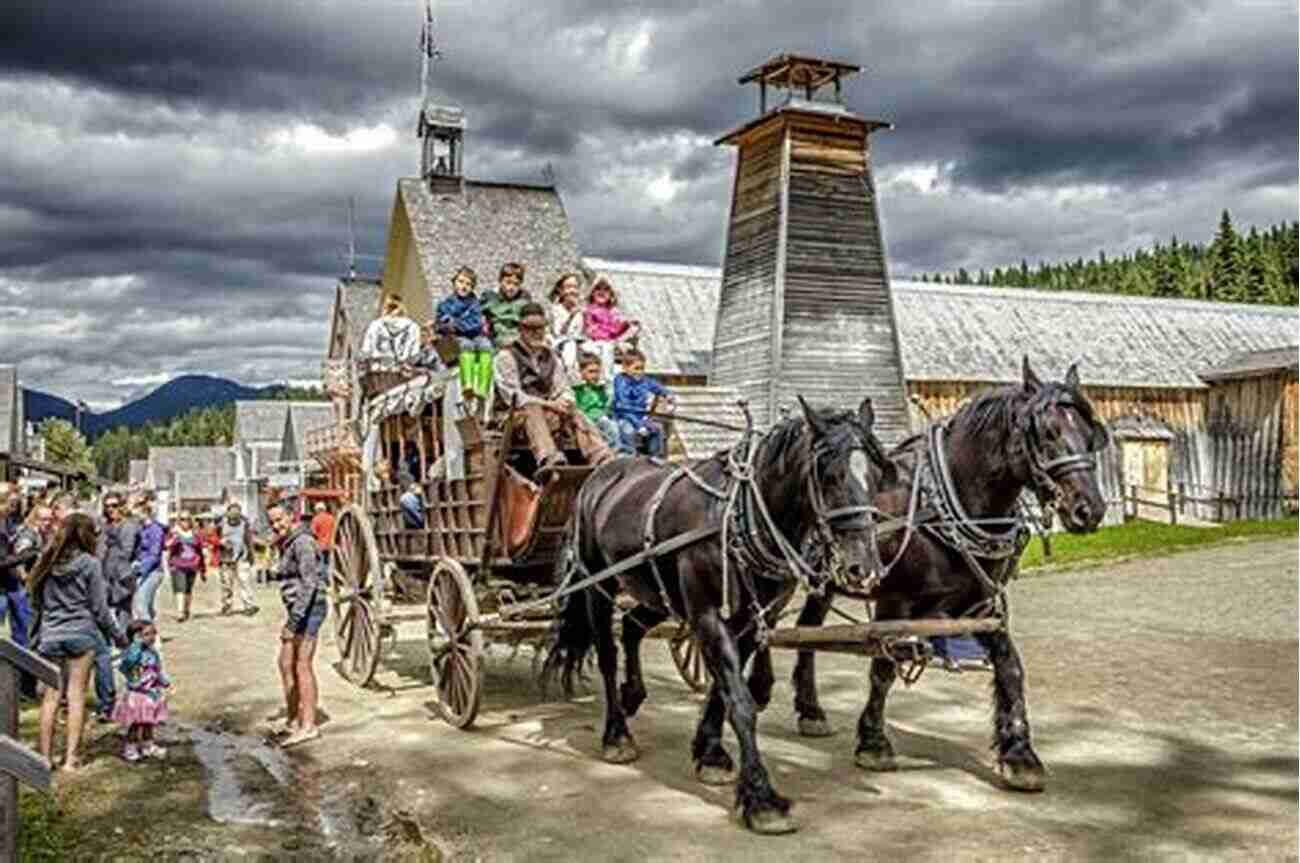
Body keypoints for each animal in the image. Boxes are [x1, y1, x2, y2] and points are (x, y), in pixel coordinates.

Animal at [546, 400, 894, 837]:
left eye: (879, 473)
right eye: (828, 474)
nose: (864, 568)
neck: (737, 516)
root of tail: (599, 476)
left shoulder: (745, 617)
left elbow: (723, 689)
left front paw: (710, 752)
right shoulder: (707, 613)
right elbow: (740, 700)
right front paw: (762, 799)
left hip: (656, 591)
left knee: (632, 628)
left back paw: (633, 694)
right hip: (597, 583)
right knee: (608, 653)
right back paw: (616, 733)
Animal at [780, 356, 1107, 790]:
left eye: (1089, 435)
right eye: (1047, 433)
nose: (1090, 509)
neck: (947, 505)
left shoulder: (985, 604)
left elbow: (1010, 665)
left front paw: (1019, 752)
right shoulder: (895, 601)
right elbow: (882, 669)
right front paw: (873, 742)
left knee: (806, 630)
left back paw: (810, 709)